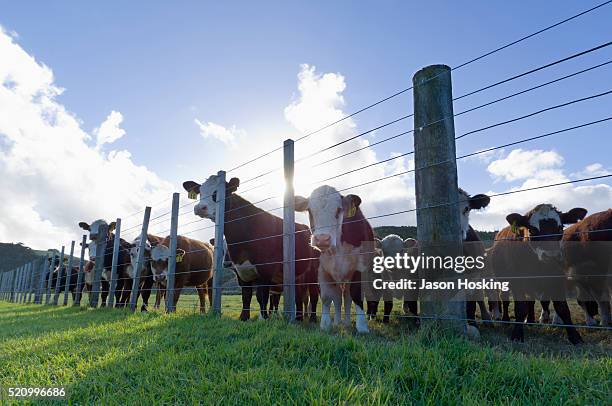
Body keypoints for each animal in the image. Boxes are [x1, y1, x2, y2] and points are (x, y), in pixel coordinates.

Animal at [183, 176, 320, 322]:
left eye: (220, 192)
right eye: (200, 192)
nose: (199, 207)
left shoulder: (265, 269)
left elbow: (262, 296)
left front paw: (264, 318)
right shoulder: (241, 272)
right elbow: (246, 296)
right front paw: (244, 317)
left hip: (313, 272)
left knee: (313, 296)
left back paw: (311, 319)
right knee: (299, 296)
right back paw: (299, 318)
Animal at [292, 186, 372, 332]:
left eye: (339, 210)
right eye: (309, 210)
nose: (322, 239)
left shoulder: (360, 268)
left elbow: (356, 294)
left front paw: (362, 326)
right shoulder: (320, 270)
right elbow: (326, 297)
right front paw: (325, 325)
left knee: (347, 298)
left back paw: (346, 322)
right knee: (339, 298)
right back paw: (338, 322)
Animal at [488, 205, 588, 344]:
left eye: (560, 227)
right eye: (533, 230)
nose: (551, 255)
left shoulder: (557, 280)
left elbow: (562, 308)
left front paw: (575, 336)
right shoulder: (517, 282)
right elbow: (520, 308)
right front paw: (517, 334)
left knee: (530, 301)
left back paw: (530, 320)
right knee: (505, 298)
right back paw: (505, 319)